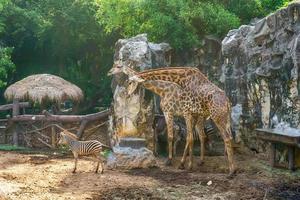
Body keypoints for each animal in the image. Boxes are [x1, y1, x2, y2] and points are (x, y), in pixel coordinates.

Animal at [108, 62, 237, 175]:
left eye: (130, 82)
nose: (109, 72)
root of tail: (227, 102)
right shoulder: (189, 113)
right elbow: (186, 137)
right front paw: (182, 163)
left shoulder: (177, 111)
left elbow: (175, 137)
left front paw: (173, 161)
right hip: (220, 117)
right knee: (218, 136)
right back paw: (220, 165)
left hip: (217, 117)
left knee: (225, 138)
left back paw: (230, 171)